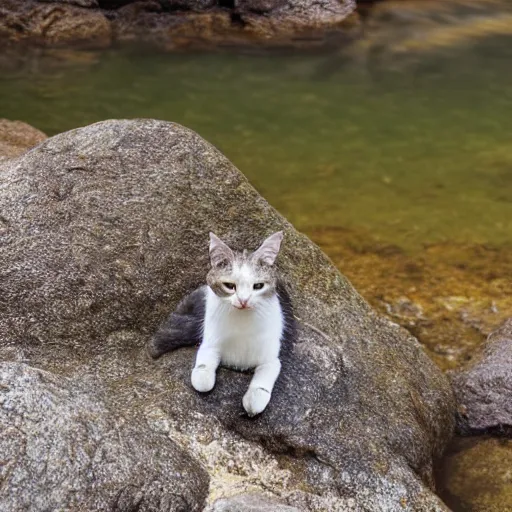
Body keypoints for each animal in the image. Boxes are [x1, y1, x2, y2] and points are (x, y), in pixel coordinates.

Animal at [150, 232, 294, 416]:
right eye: (229, 286)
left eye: (258, 286)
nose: (243, 300)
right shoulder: (209, 343)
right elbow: (202, 379)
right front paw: (203, 374)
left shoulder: (272, 359)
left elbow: (262, 383)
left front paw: (254, 399)